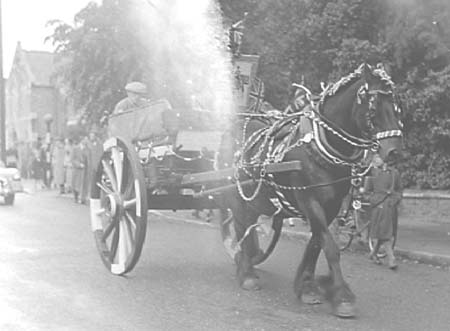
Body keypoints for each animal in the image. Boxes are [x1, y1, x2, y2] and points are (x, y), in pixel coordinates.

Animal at [216, 63, 402, 320]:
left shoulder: (331, 206)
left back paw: (250, 258)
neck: (318, 148)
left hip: (256, 199)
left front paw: (308, 287)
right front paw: (342, 297)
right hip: (236, 197)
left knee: (249, 226)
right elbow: (330, 247)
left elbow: (316, 243)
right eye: (373, 107)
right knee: (240, 225)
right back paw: (247, 273)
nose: (393, 152)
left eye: (396, 105)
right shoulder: (310, 200)